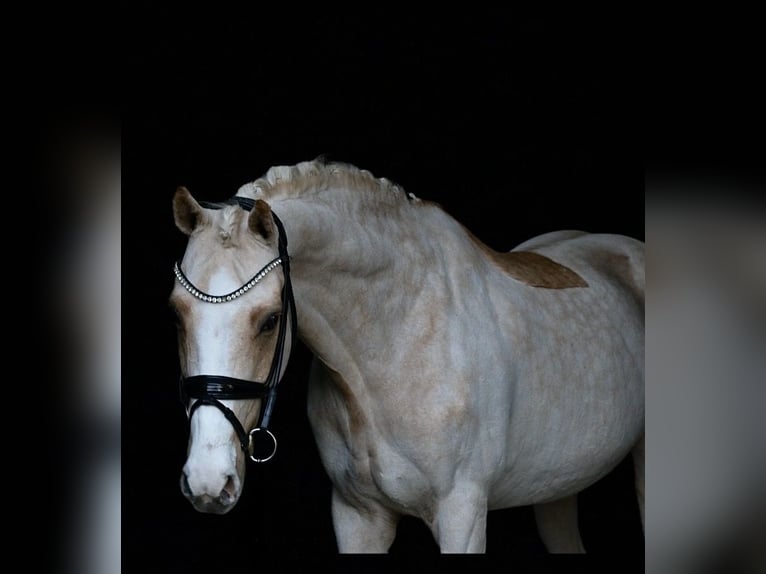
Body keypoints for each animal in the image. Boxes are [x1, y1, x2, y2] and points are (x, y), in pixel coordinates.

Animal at [171, 160, 644, 556]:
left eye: (270, 320)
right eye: (176, 313)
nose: (208, 480)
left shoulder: (462, 514)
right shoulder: (357, 515)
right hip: (557, 488)